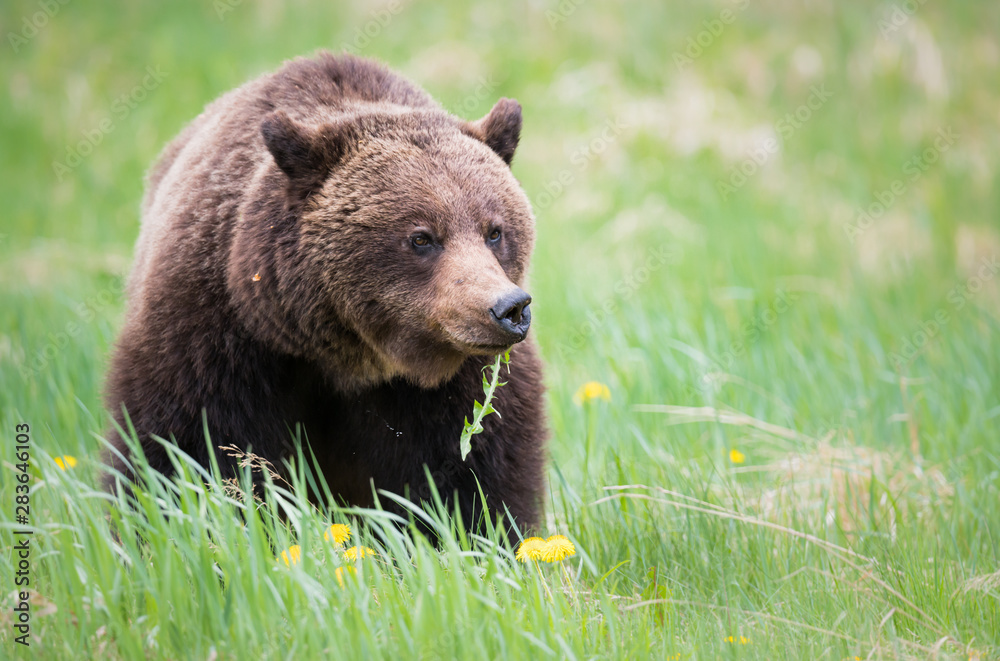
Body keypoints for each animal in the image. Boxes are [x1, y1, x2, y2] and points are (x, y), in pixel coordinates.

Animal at [103, 50, 548, 536]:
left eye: (494, 230)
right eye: (421, 237)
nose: (508, 309)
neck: (346, 356)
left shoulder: (457, 385)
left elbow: (477, 470)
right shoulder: (211, 339)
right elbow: (183, 453)